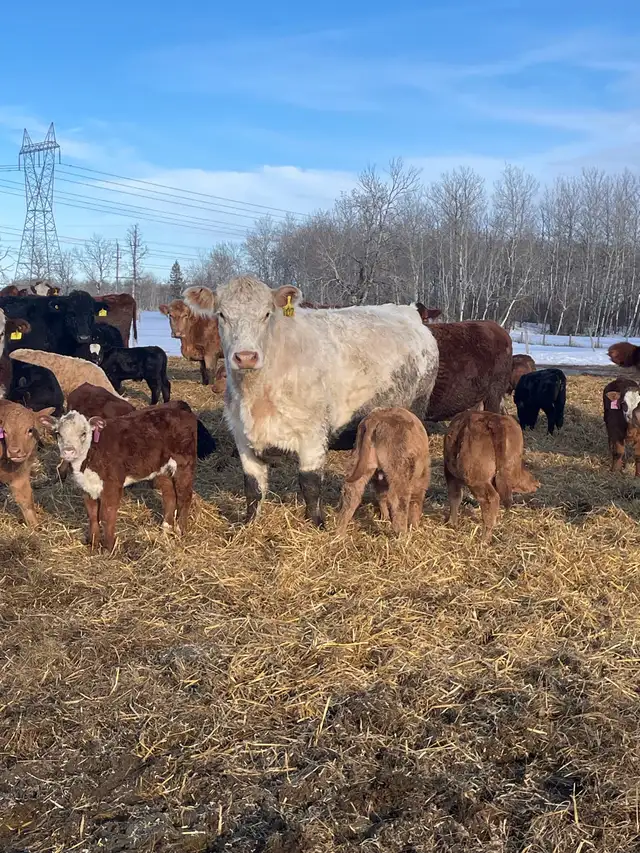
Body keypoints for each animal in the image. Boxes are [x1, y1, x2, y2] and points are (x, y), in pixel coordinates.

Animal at [44, 403, 199, 551]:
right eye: (58, 433)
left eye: (83, 433)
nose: (68, 451)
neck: (91, 452)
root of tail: (184, 413)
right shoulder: (87, 487)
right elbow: (92, 515)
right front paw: (93, 544)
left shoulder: (112, 485)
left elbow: (107, 515)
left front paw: (109, 548)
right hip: (162, 469)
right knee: (169, 496)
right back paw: (166, 528)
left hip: (184, 465)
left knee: (184, 497)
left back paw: (180, 531)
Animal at [336, 407, 430, 535]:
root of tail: (377, 417)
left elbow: (381, 496)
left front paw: (385, 518)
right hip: (399, 470)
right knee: (398, 501)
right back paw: (402, 534)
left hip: (360, 462)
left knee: (352, 492)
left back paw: (340, 532)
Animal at [443, 410, 540, 543]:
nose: (537, 484)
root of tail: (493, 422)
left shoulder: (451, 475)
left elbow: (455, 497)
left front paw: (451, 523)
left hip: (478, 481)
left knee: (491, 499)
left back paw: (484, 540)